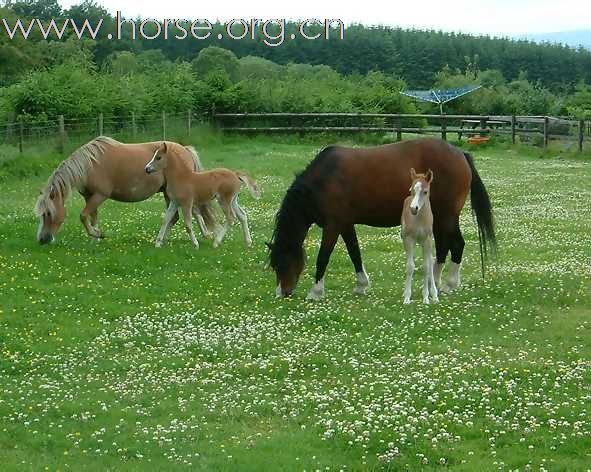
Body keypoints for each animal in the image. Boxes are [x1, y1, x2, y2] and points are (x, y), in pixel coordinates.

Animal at [33, 135, 217, 242]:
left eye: (48, 213)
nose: (42, 239)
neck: (90, 165)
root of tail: (184, 149)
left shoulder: (99, 195)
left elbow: (83, 216)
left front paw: (98, 235)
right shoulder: (90, 197)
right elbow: (93, 218)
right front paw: (95, 239)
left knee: (194, 212)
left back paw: (203, 235)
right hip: (167, 193)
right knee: (175, 217)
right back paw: (163, 239)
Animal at [402, 168, 440, 304]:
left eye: (425, 191)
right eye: (411, 190)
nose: (414, 208)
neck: (419, 220)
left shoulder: (427, 240)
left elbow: (426, 267)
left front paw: (426, 297)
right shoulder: (409, 240)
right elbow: (410, 267)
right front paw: (407, 297)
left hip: (429, 242)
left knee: (430, 263)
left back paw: (434, 294)